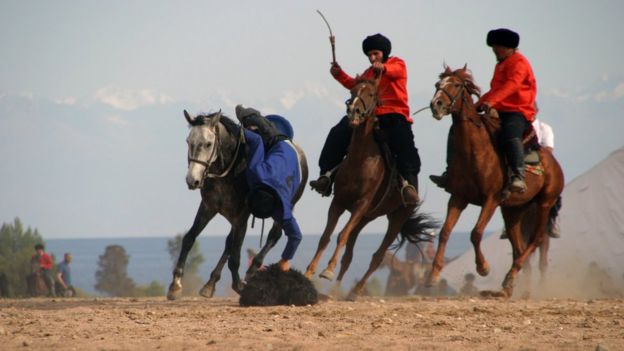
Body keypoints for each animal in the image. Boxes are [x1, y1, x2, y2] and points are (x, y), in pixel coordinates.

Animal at [168, 110, 308, 300]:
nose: (192, 180)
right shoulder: (208, 208)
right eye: (189, 141)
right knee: (229, 243)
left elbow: (235, 256)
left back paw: (253, 268)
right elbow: (190, 238)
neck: (228, 172)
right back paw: (210, 284)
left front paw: (239, 286)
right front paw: (175, 285)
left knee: (273, 235)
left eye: (208, 143)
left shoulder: (242, 216)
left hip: (289, 204)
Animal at [304, 78, 434, 302]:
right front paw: (310, 272)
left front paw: (327, 271)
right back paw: (336, 292)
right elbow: (326, 237)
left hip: (397, 218)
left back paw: (355, 291)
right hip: (366, 218)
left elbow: (341, 235)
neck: (360, 161)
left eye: (371, 94)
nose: (353, 111)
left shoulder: (360, 205)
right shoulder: (339, 203)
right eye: (352, 91)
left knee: (378, 256)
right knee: (349, 255)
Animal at [428, 65, 564, 296]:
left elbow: (476, 233)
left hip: (544, 203)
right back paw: (510, 286)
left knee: (535, 241)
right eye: (438, 84)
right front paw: (434, 275)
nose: (435, 105)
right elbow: (445, 232)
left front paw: (483, 267)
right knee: (518, 246)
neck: (476, 151)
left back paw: (511, 279)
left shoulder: (491, 199)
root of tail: (554, 165)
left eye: (455, 84)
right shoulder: (458, 197)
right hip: (513, 210)